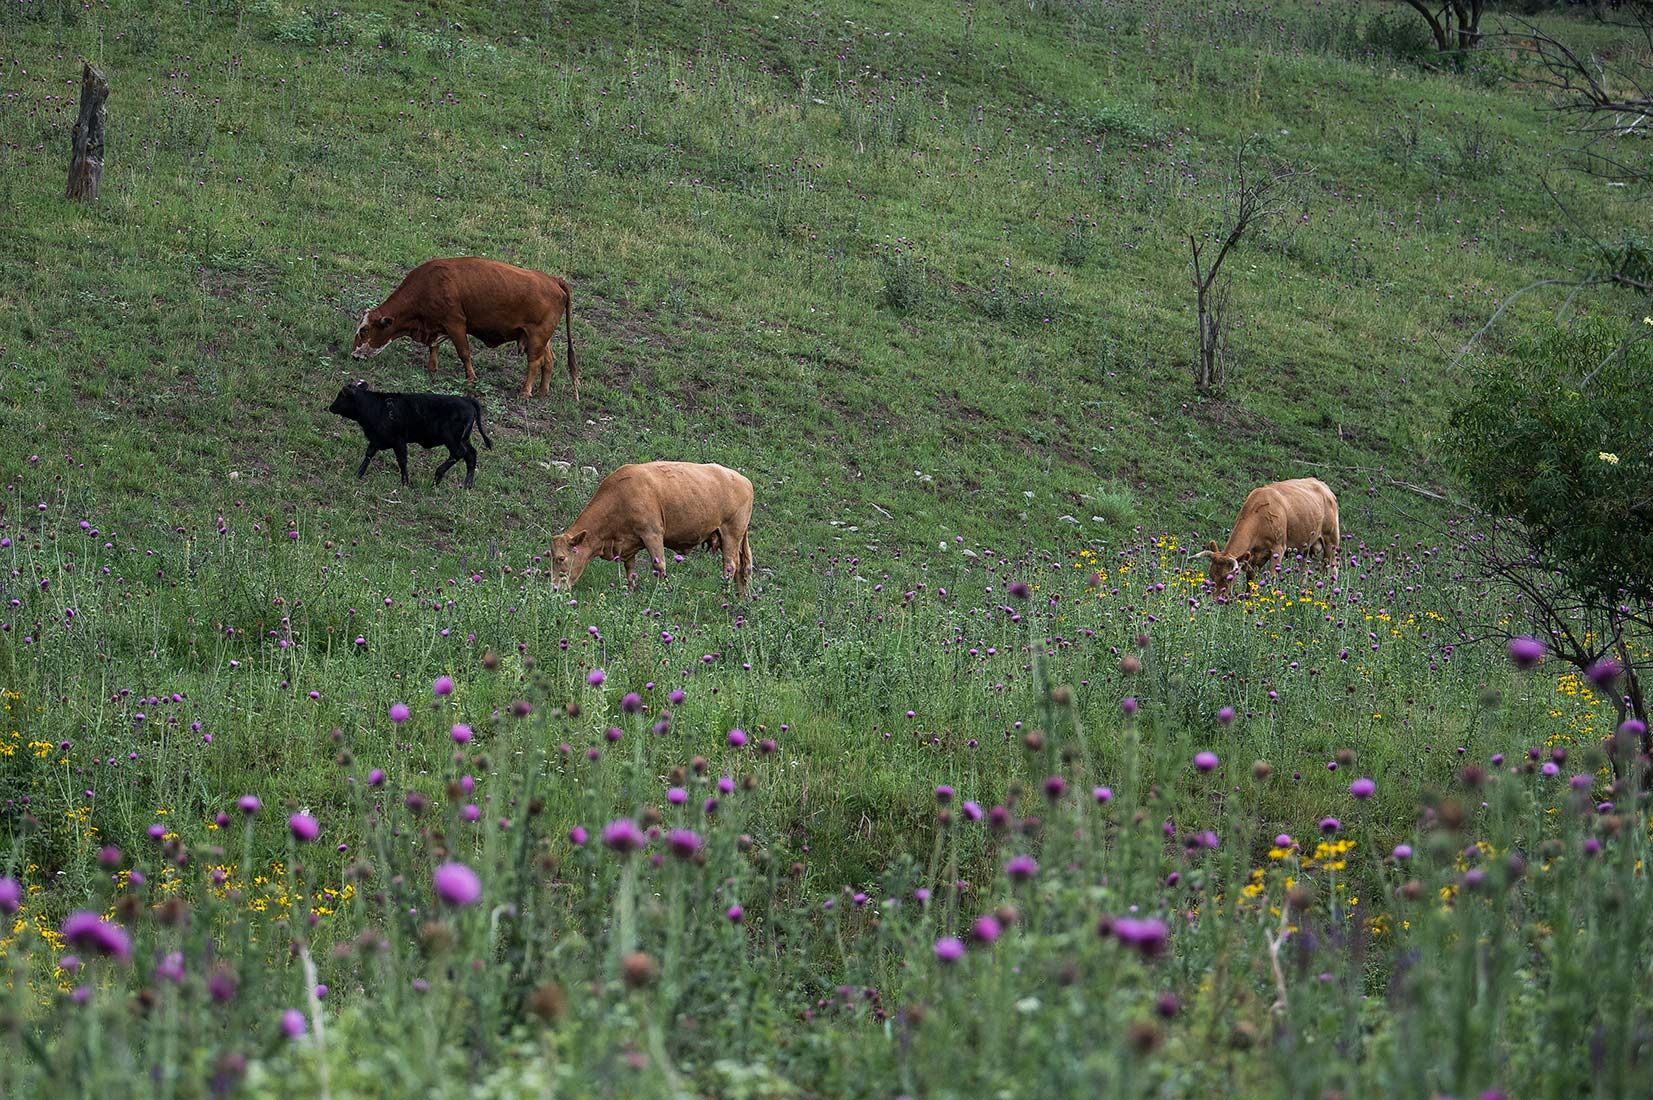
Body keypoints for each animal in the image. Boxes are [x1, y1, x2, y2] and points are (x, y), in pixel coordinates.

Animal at [327, 382, 493, 488]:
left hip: (452, 439)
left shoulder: (399, 441)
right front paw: (358, 474)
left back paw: (438, 476)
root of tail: (466, 399)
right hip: (464, 439)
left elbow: (402, 461)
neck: (378, 407)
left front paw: (405, 483)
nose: (331, 407)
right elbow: (368, 455)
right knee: (471, 455)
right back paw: (467, 485)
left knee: (459, 453)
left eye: (341, 395)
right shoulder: (376, 439)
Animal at [350, 257, 577, 402]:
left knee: (534, 363)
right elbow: (434, 347)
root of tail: (553, 280)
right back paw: (542, 392)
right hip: (540, 338)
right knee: (549, 360)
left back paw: (525, 392)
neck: (430, 283)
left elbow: (464, 352)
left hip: (537, 336)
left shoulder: (456, 324)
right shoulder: (437, 326)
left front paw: (470, 378)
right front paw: (432, 368)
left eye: (364, 331)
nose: (353, 355)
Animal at [548, 462, 754, 596]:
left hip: (731, 533)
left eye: (561, 558)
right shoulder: (627, 542)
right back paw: (740, 597)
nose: (554, 589)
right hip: (733, 537)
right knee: (742, 567)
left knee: (730, 565)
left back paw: (724, 595)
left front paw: (663, 592)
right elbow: (630, 569)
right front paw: (630, 592)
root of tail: (744, 480)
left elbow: (659, 565)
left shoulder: (652, 533)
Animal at [1192, 477, 1340, 600]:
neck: (1259, 515)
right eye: (1211, 575)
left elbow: (1272, 578)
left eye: (1228, 577)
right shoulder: (1253, 556)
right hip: (1305, 547)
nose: (1215, 600)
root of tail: (1324, 486)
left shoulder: (1278, 548)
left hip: (1331, 540)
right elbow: (1250, 580)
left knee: (1332, 569)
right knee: (1304, 571)